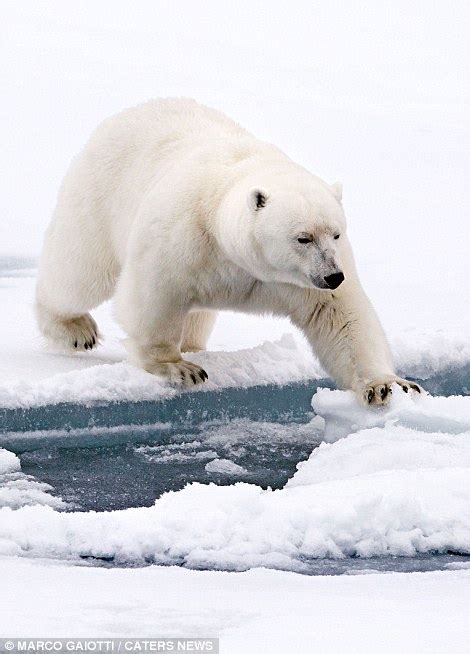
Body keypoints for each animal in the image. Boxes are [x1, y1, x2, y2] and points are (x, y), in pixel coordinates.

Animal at [35, 98, 420, 404]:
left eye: (336, 234)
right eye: (303, 237)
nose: (333, 275)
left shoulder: (297, 281)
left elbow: (342, 316)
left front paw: (388, 386)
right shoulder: (182, 234)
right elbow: (153, 292)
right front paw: (179, 368)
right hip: (99, 193)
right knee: (80, 272)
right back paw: (75, 329)